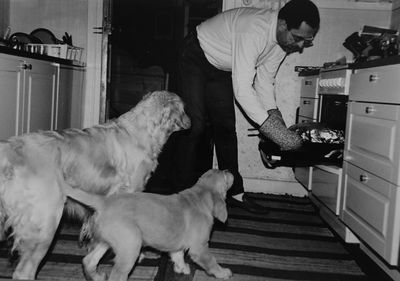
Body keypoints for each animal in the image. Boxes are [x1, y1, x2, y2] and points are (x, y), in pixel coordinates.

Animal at [0, 91, 191, 278]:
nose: (190, 122)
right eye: (184, 108)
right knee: (24, 271)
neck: (142, 131)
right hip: (46, 223)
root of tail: (11, 150)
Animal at [62, 168, 234, 280]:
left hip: (107, 242)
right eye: (225, 175)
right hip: (131, 246)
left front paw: (182, 268)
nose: (228, 169)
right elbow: (211, 262)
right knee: (116, 275)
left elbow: (178, 255)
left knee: (89, 261)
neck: (199, 196)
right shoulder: (200, 248)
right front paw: (223, 273)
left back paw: (97, 276)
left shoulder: (176, 245)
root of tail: (104, 202)